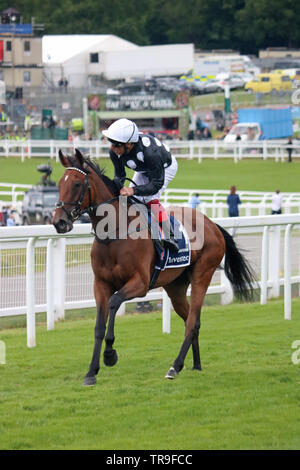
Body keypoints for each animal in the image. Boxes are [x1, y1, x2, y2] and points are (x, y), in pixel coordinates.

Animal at [52, 150, 254, 386]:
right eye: (59, 184)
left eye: (76, 184)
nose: (59, 222)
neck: (114, 234)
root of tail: (213, 225)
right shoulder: (100, 284)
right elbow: (99, 326)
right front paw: (91, 372)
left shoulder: (139, 284)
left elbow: (113, 303)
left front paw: (110, 355)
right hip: (175, 287)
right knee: (189, 318)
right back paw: (195, 364)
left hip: (202, 274)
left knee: (192, 321)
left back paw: (175, 367)